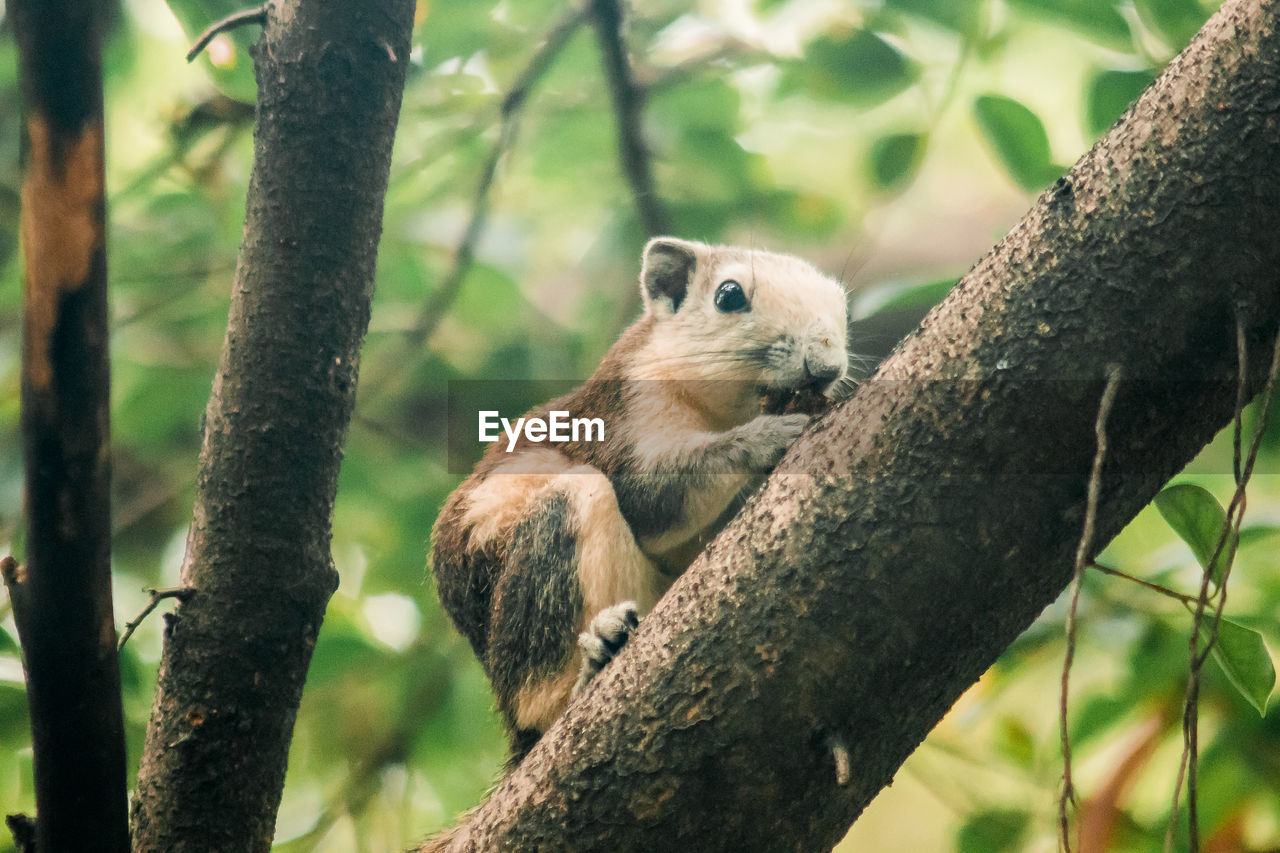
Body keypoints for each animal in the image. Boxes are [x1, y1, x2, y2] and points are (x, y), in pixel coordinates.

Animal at [430, 235, 849, 758]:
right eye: (729, 295)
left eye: (842, 306)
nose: (828, 366)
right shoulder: (622, 418)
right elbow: (652, 497)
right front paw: (766, 436)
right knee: (537, 698)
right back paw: (588, 669)